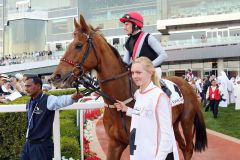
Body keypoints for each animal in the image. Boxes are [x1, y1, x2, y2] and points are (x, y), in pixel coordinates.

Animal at [50, 15, 206, 160]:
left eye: (78, 45)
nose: (55, 76)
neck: (119, 99)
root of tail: (186, 83)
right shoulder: (115, 143)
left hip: (187, 121)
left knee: (188, 148)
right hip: (172, 125)